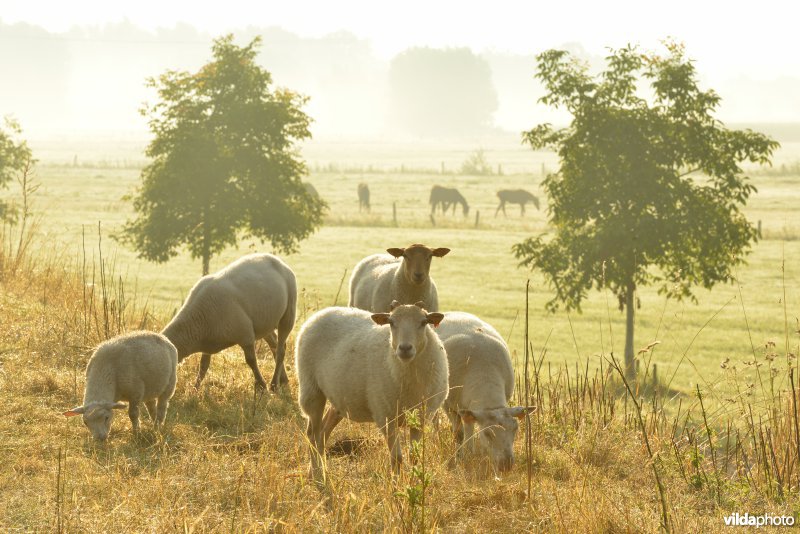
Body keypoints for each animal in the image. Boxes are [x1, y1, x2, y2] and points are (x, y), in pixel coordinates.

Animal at [162, 253, 296, 392]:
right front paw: (195, 389)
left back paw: (274, 384)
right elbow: (203, 366)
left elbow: (251, 361)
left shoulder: (245, 335)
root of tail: (274, 258)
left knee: (281, 349)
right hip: (264, 322)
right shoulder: (208, 342)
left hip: (288, 312)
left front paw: (261, 385)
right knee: (274, 344)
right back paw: (283, 379)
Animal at [296, 302, 450, 482]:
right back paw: (316, 475)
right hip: (311, 389)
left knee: (323, 432)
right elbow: (397, 458)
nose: (405, 348)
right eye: (391, 322)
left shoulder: (420, 419)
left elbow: (415, 456)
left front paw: (413, 482)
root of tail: (320, 314)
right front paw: (396, 485)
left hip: (339, 398)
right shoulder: (386, 417)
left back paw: (319, 472)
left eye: (424, 322)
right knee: (313, 434)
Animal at [434, 314, 536, 474]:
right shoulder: (451, 407)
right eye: (487, 433)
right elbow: (459, 434)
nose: (506, 465)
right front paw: (463, 459)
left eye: (515, 429)